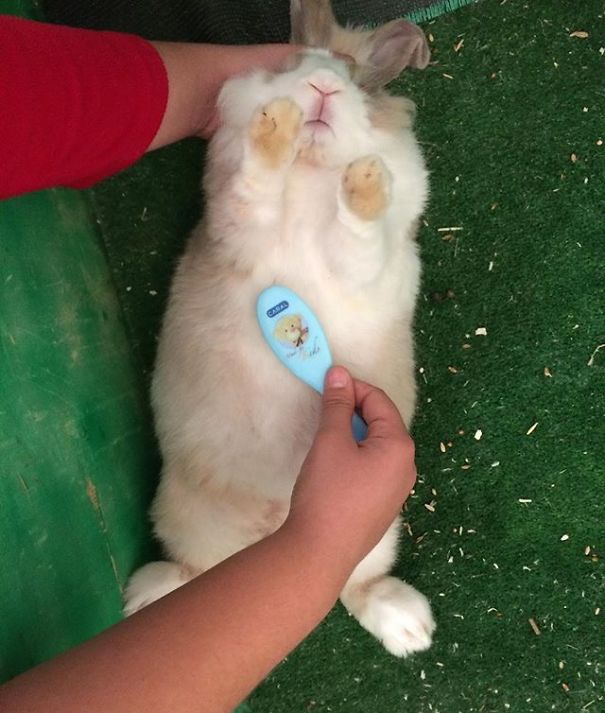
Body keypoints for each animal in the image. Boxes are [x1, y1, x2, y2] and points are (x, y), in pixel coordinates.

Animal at [125, 0, 435, 658]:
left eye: (351, 75)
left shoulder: (364, 270)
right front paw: (275, 126)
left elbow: (358, 238)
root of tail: (272, 525)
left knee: (354, 585)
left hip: (378, 535)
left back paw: (409, 628)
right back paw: (142, 595)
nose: (318, 87)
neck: (312, 172)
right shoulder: (240, 226)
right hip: (185, 521)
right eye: (291, 64)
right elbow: (255, 183)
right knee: (192, 573)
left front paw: (366, 179)